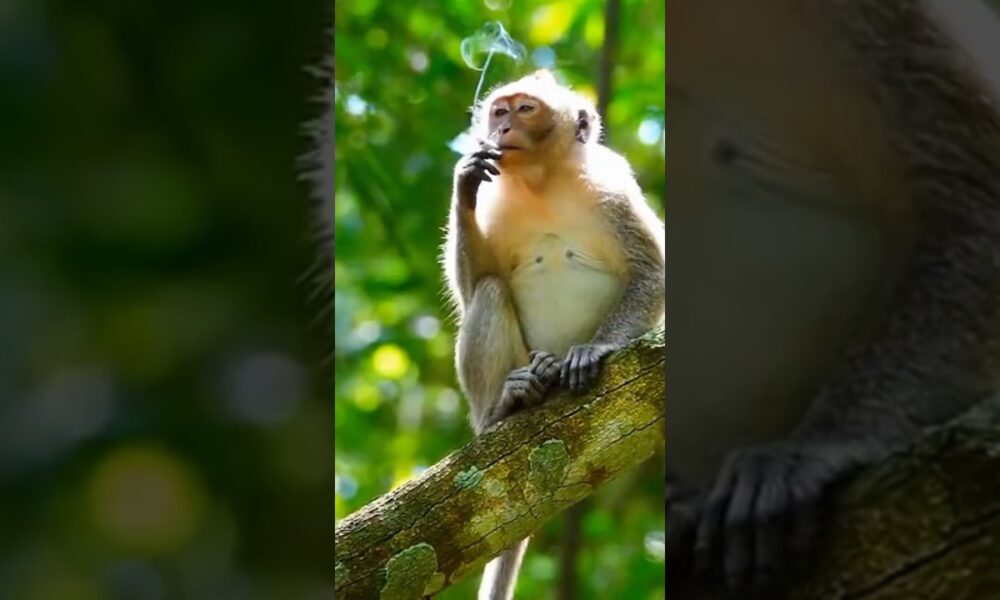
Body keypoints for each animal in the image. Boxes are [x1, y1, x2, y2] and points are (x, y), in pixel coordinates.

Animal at [442, 69, 665, 600]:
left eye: (526, 110)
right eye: (499, 111)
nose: (501, 129)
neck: (541, 182)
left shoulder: (614, 190)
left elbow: (653, 271)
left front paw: (594, 349)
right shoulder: (497, 200)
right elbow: (472, 287)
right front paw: (464, 179)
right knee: (490, 290)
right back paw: (507, 405)